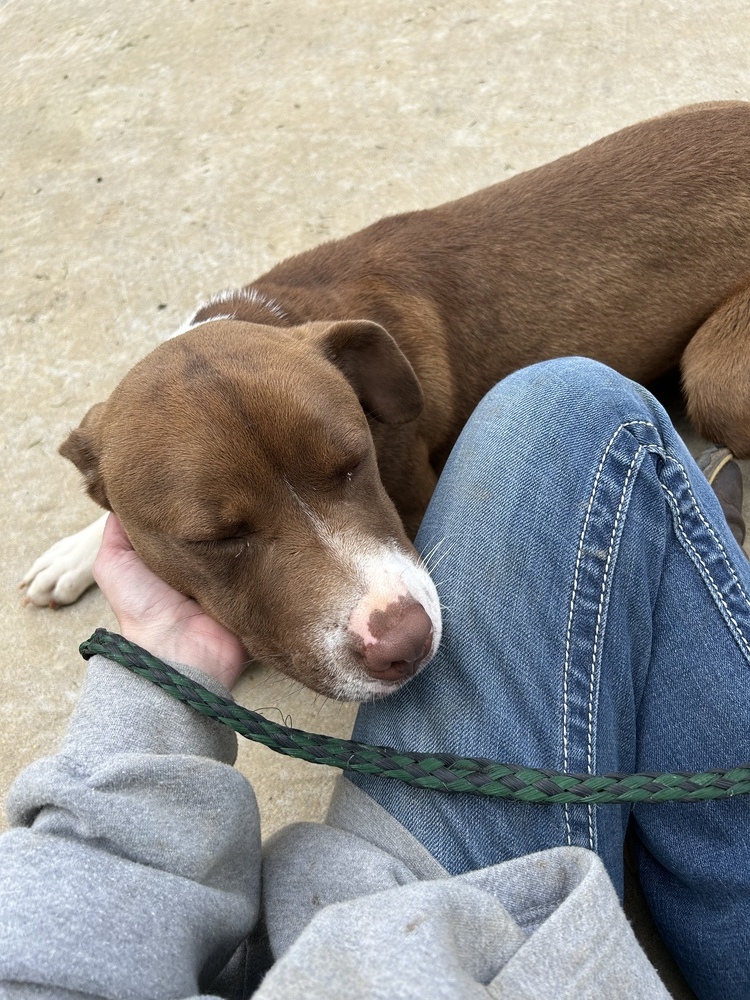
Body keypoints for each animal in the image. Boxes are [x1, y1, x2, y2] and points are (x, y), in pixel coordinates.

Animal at [20, 99, 750, 696]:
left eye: (354, 464)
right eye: (216, 538)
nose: (403, 642)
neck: (272, 314)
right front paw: (76, 551)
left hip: (713, 371)